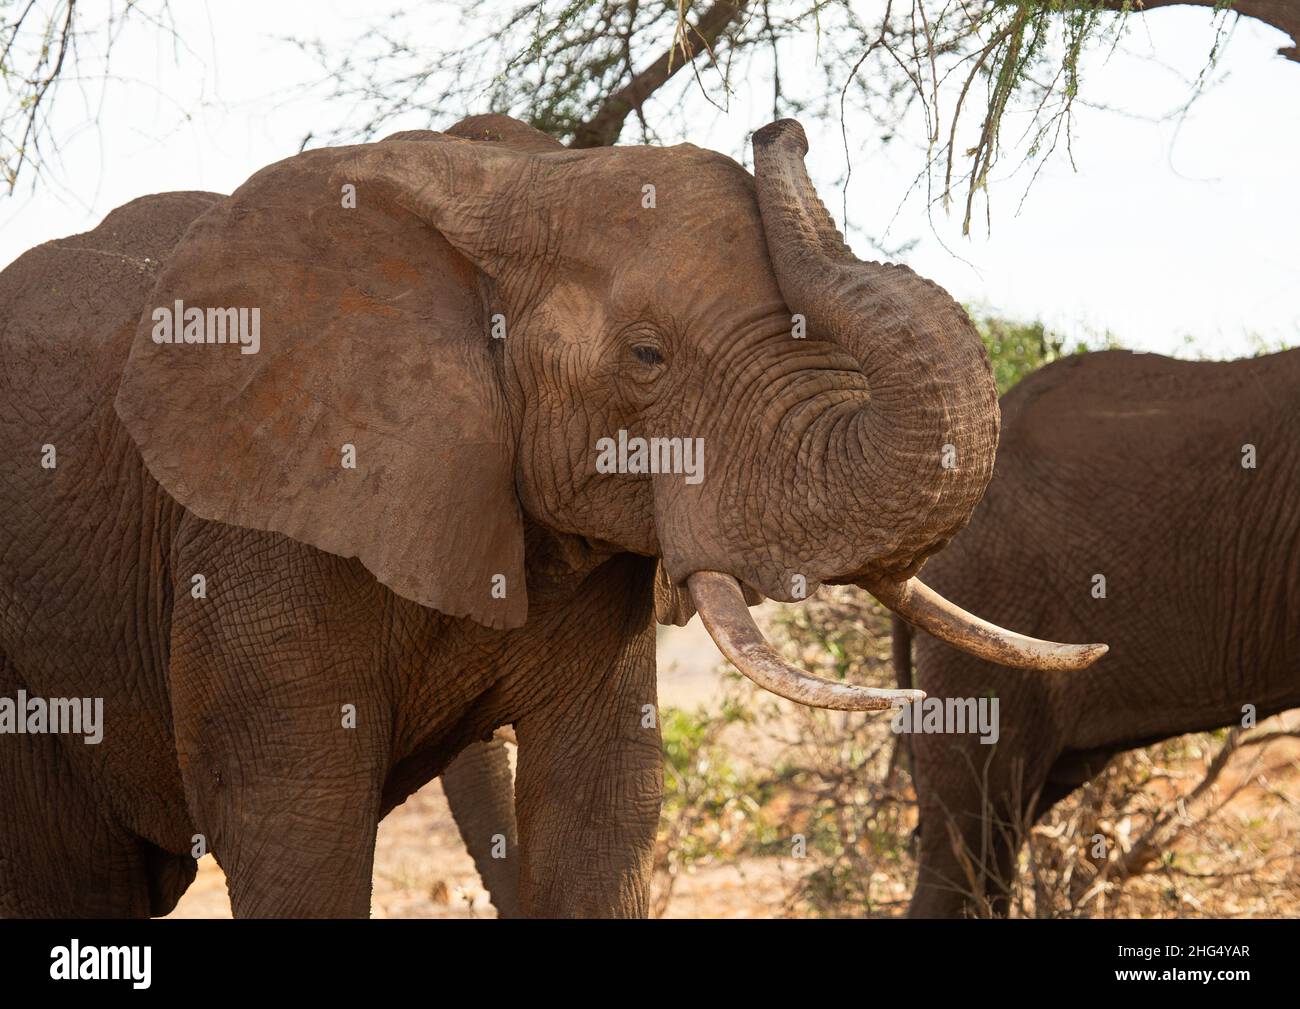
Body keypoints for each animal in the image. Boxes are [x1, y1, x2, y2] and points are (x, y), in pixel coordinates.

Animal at [0, 114, 1097, 920]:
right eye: (647, 358)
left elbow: (601, 805)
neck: (504, 185)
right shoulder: (253, 523)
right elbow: (294, 824)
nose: (777, 128)